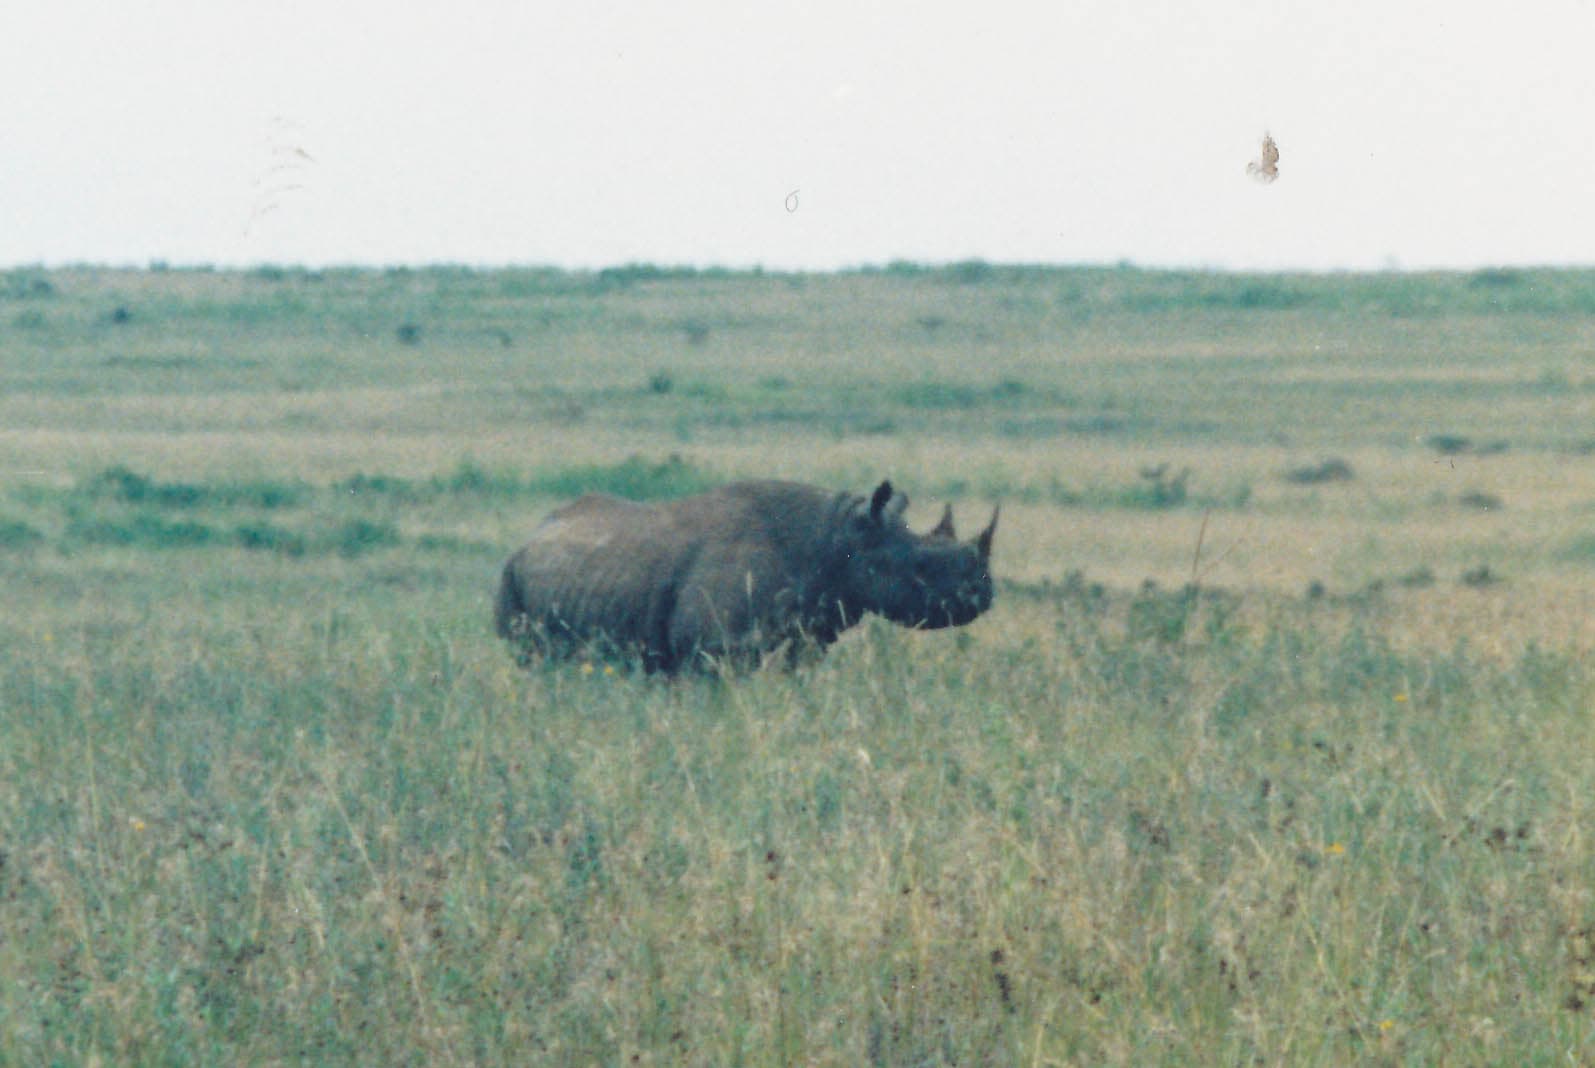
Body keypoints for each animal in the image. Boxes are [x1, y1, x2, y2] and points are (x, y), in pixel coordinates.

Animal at [494, 479, 997, 673]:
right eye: (921, 568)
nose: (984, 593)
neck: (835, 541)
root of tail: (533, 534)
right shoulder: (711, 651)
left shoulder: (803, 641)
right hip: (511, 575)